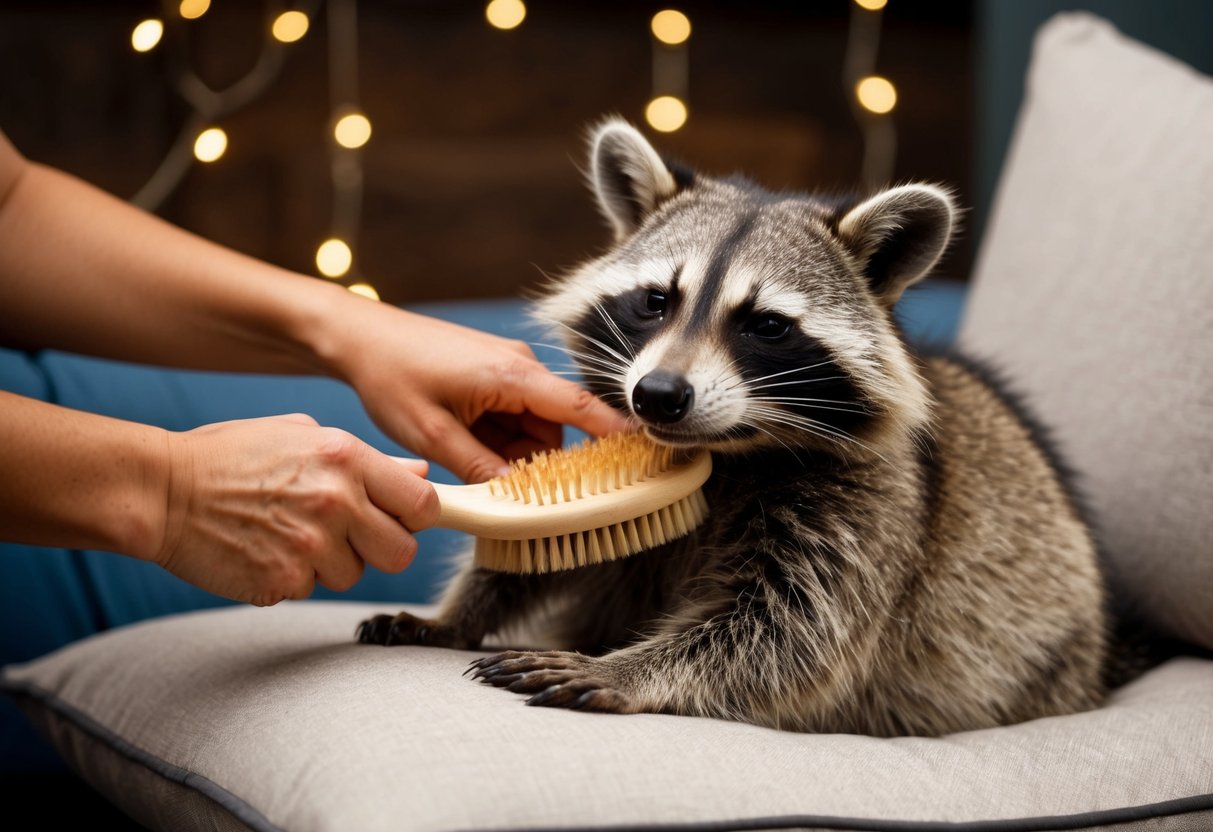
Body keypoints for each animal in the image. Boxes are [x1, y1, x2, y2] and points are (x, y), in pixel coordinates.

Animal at [357, 118, 1110, 736]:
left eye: (766, 325)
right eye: (655, 301)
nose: (658, 397)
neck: (724, 454)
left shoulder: (866, 511)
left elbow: (785, 633)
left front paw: (626, 667)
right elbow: (539, 554)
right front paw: (458, 615)